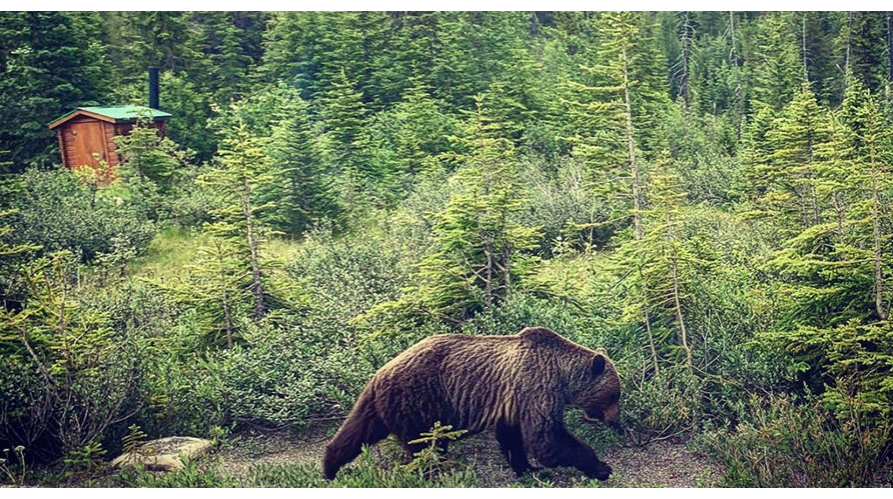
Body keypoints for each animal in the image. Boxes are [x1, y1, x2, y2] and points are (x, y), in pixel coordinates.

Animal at [322, 326, 622, 481]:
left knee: (356, 432)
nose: (615, 420)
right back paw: (435, 473)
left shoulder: (512, 401)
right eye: (614, 395)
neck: (560, 374)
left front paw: (526, 467)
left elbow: (513, 436)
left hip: (382, 405)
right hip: (419, 400)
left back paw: (329, 468)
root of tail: (380, 372)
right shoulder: (536, 387)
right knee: (425, 445)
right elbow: (546, 438)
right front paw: (601, 467)